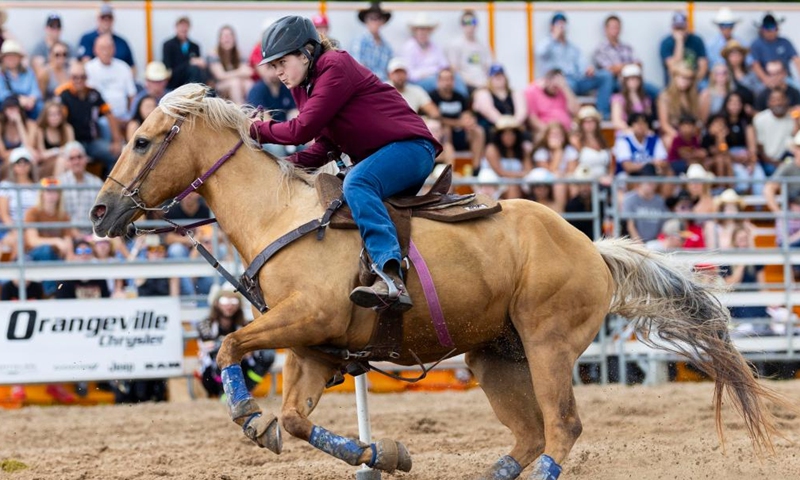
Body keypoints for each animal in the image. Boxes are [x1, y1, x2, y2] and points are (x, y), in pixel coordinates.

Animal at [90, 84, 784, 478]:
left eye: (143, 140)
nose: (99, 212)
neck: (279, 215)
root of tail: (590, 246)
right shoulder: (314, 349)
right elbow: (294, 420)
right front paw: (380, 454)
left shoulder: (306, 321)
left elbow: (230, 346)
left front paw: (246, 415)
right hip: (495, 356)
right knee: (530, 435)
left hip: (547, 344)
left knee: (561, 428)